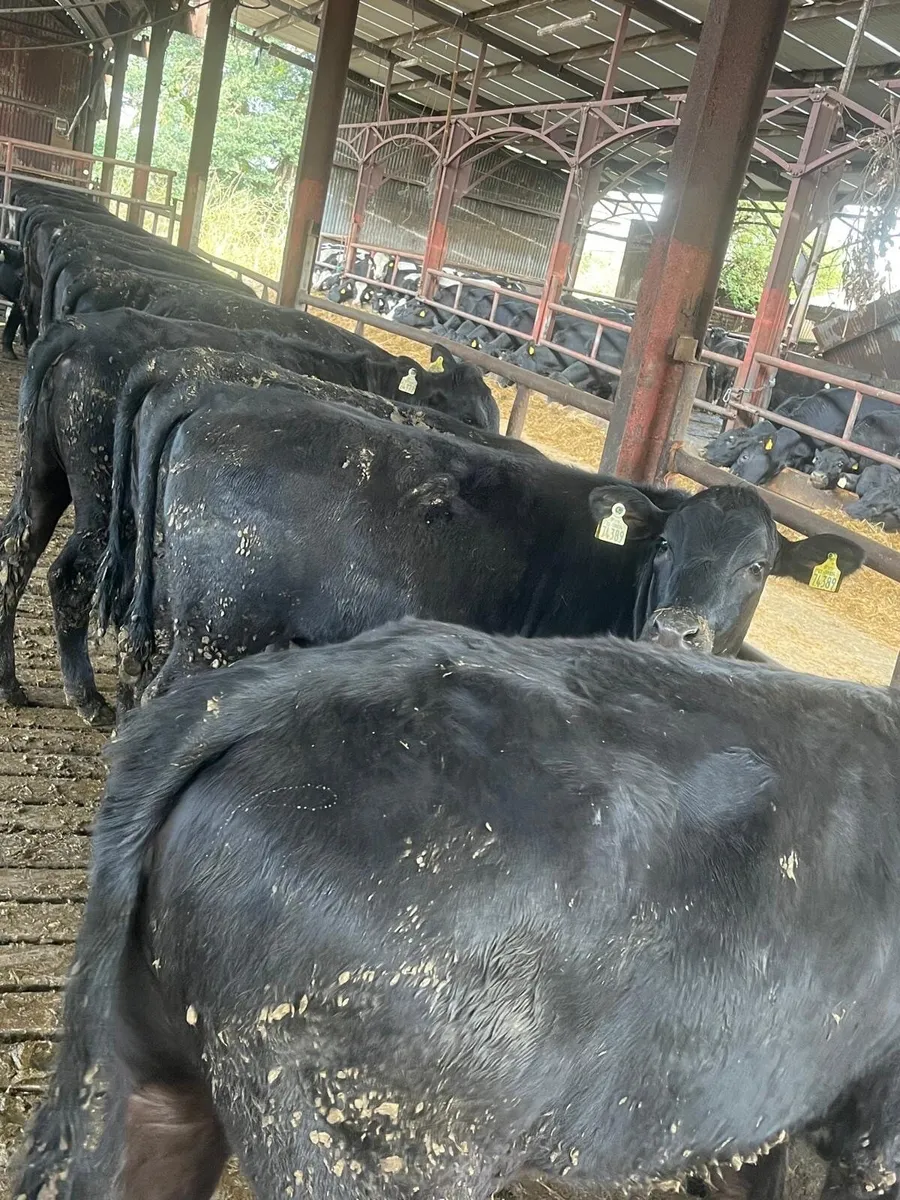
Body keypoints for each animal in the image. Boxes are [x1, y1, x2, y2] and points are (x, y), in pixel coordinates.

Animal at [0, 312, 499, 725]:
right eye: (469, 413)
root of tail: (78, 331)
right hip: (103, 501)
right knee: (70, 576)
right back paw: (86, 698)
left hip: (45, 478)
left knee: (18, 549)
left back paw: (12, 684)